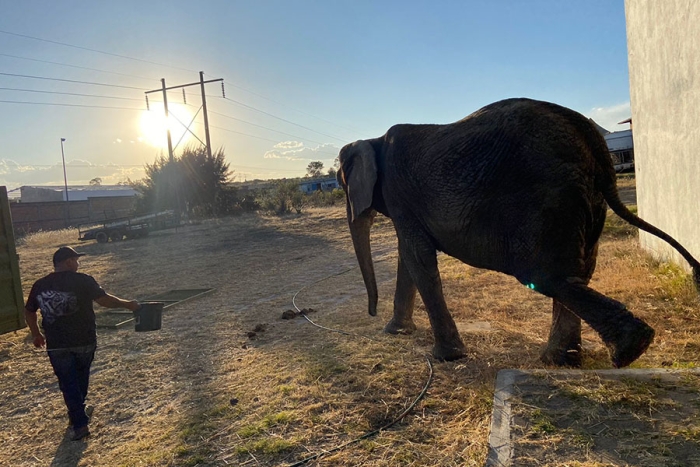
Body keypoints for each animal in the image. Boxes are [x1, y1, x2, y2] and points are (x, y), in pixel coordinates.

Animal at [336, 98, 696, 370]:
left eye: (340, 182)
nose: (371, 313)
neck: (372, 140)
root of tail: (590, 136)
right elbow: (408, 258)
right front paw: (396, 332)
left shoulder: (401, 193)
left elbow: (417, 258)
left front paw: (446, 358)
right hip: (584, 199)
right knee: (577, 273)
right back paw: (561, 361)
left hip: (548, 196)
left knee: (547, 276)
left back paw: (630, 349)